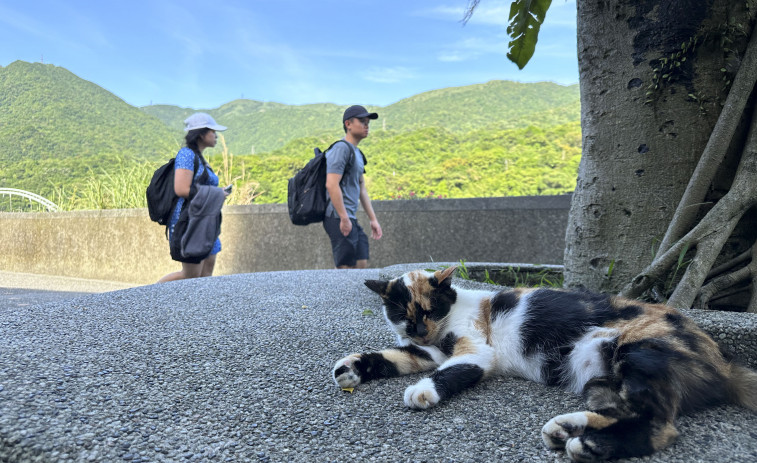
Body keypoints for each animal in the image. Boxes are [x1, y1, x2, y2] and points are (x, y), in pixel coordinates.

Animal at [332, 268, 756, 463]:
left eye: (431, 308)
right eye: (402, 314)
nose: (420, 329)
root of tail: (723, 360)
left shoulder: (475, 351)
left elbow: (450, 370)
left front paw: (423, 391)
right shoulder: (426, 352)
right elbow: (393, 355)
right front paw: (352, 366)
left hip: (637, 353)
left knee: (660, 424)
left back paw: (590, 444)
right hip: (603, 382)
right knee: (626, 409)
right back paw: (568, 428)